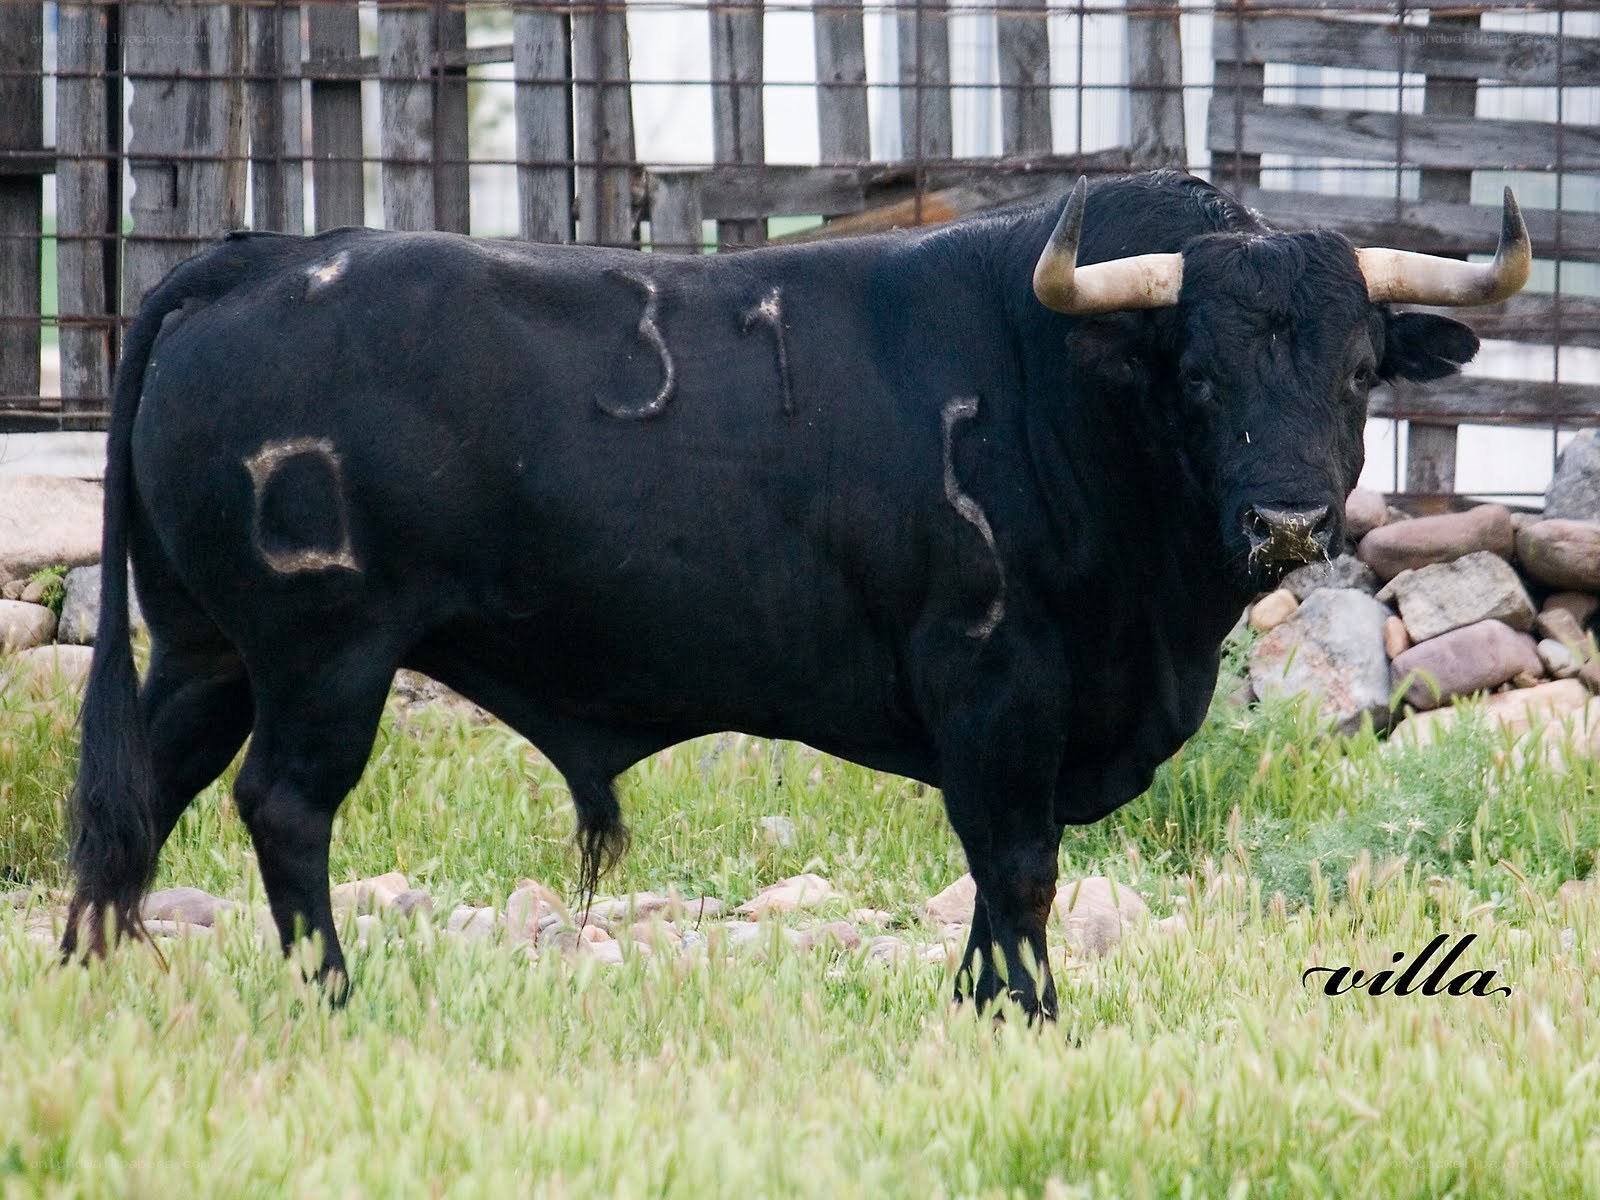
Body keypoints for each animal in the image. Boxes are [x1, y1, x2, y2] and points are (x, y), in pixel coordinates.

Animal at [62, 170, 1529, 1020]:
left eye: (1356, 370)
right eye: (1200, 374)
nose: (1288, 522)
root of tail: (258, 255)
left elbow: (996, 883)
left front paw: (979, 1005)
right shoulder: (995, 687)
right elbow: (1016, 867)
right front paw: (1024, 1012)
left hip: (204, 649)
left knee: (135, 803)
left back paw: (90, 974)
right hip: (324, 653)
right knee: (280, 806)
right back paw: (331, 993)